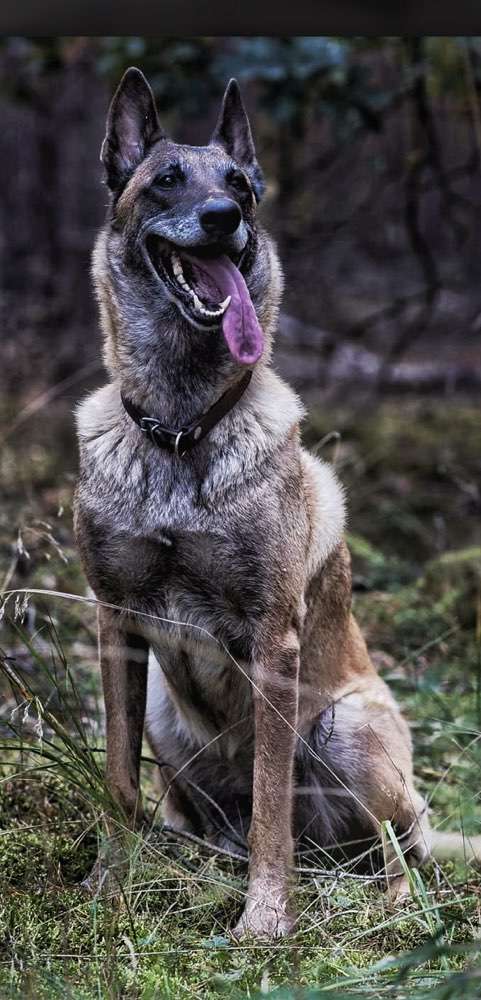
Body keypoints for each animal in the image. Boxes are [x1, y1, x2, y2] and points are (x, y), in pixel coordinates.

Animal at [73, 70, 470, 936]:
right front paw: (107, 889)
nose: (224, 219)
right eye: (166, 181)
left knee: (398, 848)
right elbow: (117, 780)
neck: (180, 433)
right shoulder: (116, 625)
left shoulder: (271, 641)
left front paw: (262, 921)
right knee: (198, 814)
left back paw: (390, 910)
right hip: (166, 714)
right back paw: (196, 862)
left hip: (347, 728)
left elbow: (269, 809)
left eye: (241, 187)